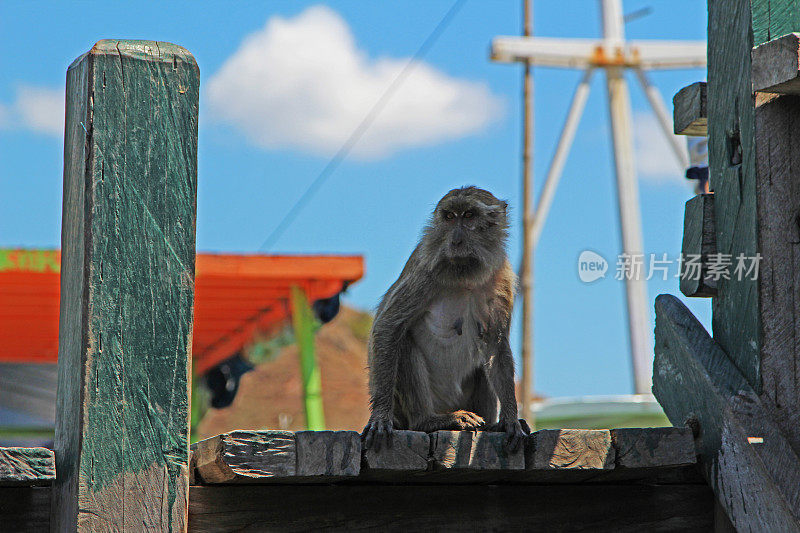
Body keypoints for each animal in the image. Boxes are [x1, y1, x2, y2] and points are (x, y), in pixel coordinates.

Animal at [360, 185, 524, 450]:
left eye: (468, 215)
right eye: (449, 217)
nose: (455, 240)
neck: (467, 274)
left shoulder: (504, 279)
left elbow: (495, 346)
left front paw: (510, 420)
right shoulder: (425, 269)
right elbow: (388, 327)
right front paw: (381, 416)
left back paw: (490, 425)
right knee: (403, 342)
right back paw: (429, 421)